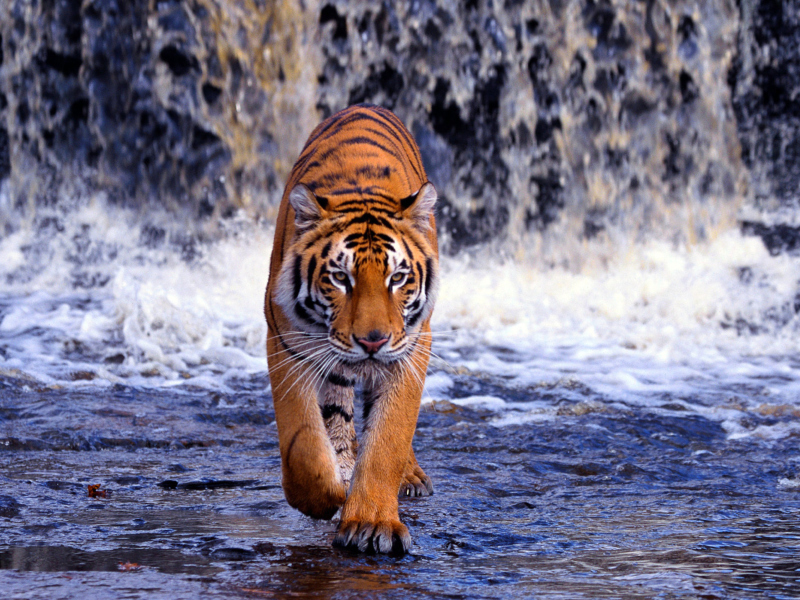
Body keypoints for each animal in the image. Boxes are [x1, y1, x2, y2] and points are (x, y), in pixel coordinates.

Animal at [262, 102, 438, 552]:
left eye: (398, 278)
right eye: (341, 278)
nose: (372, 341)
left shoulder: (410, 349)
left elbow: (389, 438)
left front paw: (371, 522)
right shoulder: (287, 343)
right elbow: (304, 442)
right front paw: (325, 496)